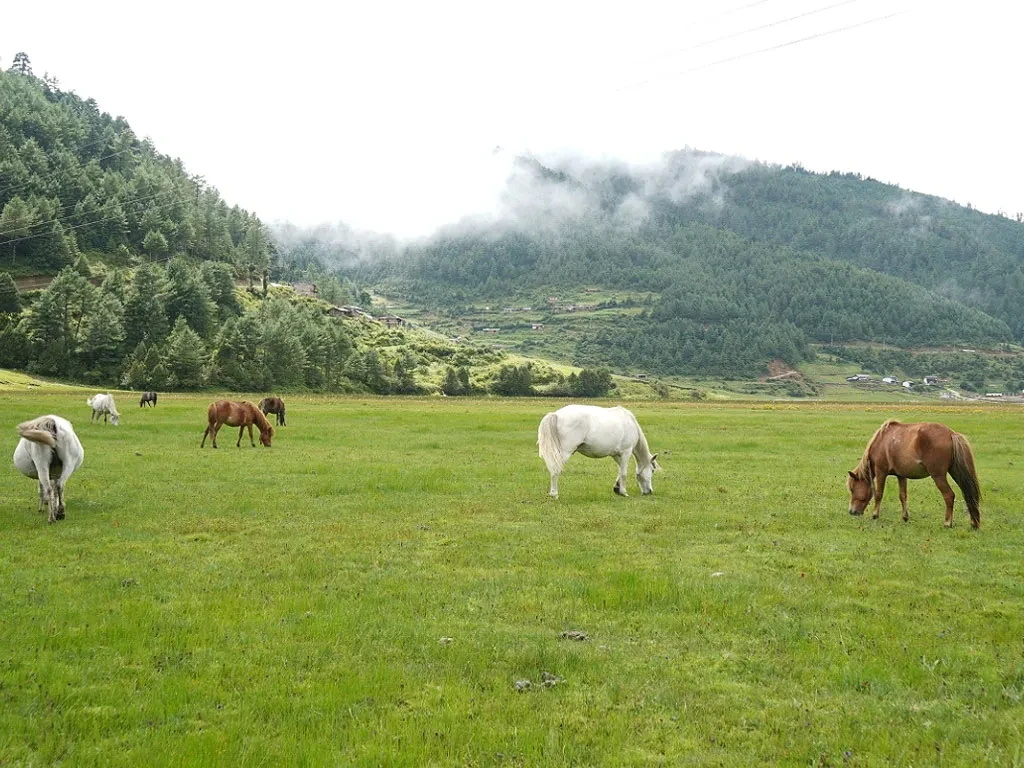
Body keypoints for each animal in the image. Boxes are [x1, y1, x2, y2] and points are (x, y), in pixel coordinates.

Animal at [847, 421, 983, 528]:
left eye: (852, 489)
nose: (852, 512)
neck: (882, 441)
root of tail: (951, 434)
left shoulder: (881, 472)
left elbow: (879, 494)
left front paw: (875, 515)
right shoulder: (901, 475)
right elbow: (903, 496)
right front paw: (905, 517)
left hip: (938, 476)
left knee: (949, 496)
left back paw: (947, 523)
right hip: (956, 472)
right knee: (968, 493)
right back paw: (973, 523)